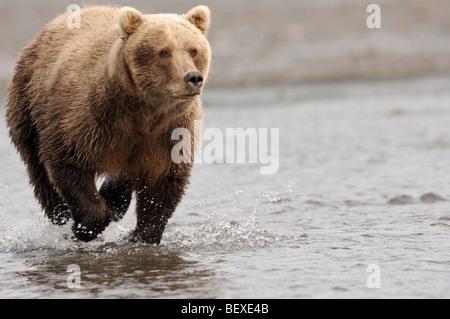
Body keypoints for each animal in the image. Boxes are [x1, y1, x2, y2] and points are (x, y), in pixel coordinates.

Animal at [5, 5, 212, 244]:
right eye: (164, 51)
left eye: (193, 50)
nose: (193, 77)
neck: (144, 112)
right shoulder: (86, 119)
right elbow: (66, 160)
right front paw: (84, 228)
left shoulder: (170, 132)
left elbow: (164, 182)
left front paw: (141, 235)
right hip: (28, 103)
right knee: (39, 170)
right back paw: (62, 214)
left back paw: (114, 200)